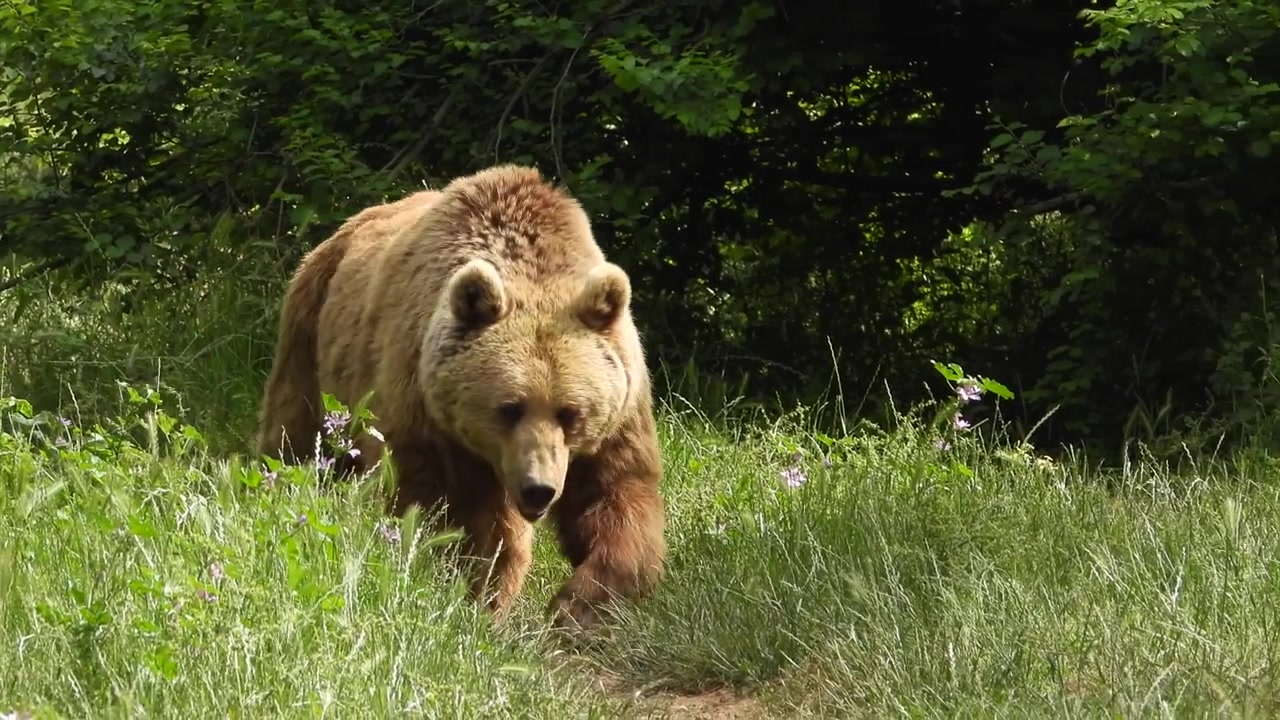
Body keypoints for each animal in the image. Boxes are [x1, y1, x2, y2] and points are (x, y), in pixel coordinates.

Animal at [253, 164, 666, 632]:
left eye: (570, 412)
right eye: (510, 408)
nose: (539, 490)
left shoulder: (619, 415)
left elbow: (619, 498)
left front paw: (576, 608)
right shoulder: (421, 413)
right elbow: (440, 514)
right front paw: (474, 595)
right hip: (311, 329)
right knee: (293, 430)